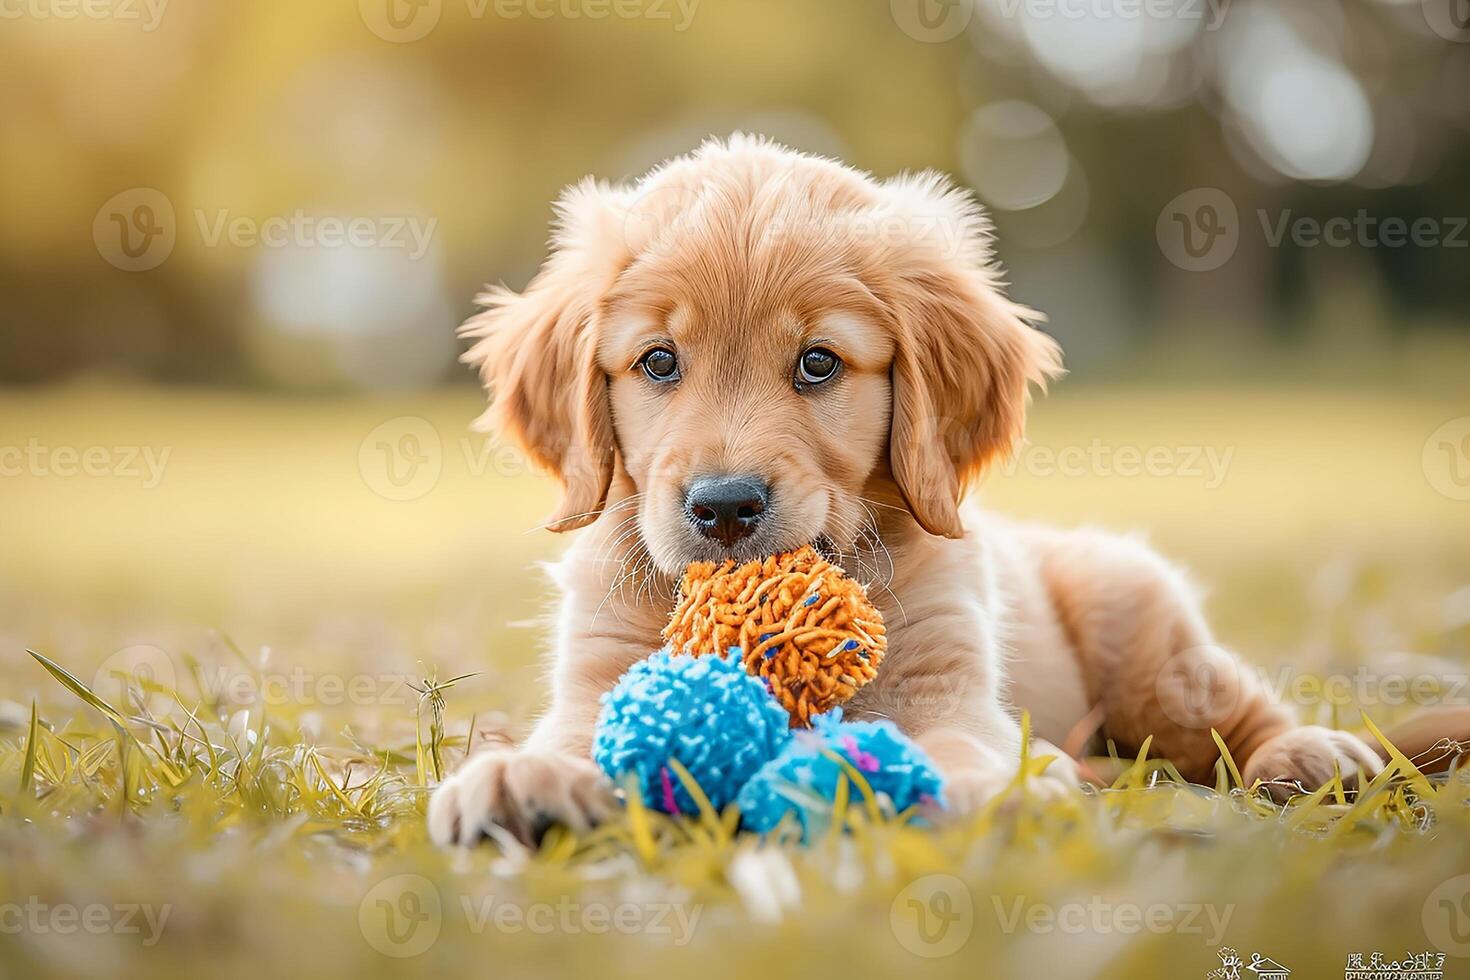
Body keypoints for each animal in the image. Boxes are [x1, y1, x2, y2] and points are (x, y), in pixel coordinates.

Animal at [426, 138, 1375, 852]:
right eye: (658, 361)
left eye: (819, 362)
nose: (724, 507)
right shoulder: (602, 672)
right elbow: (578, 733)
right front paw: (519, 776)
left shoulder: (946, 683)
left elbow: (958, 744)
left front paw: (994, 789)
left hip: (1148, 640)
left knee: (1229, 714)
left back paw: (1309, 754)